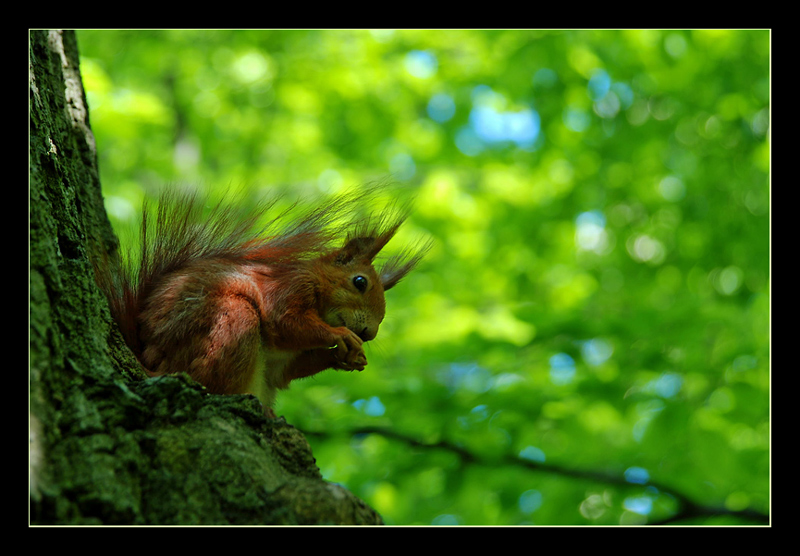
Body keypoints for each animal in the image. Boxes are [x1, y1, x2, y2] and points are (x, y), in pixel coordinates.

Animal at [98, 189, 432, 410]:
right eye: (359, 282)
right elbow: (285, 322)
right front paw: (341, 337)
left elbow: (286, 373)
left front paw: (349, 357)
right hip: (230, 320)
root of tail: (150, 357)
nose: (369, 333)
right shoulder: (287, 290)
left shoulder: (280, 365)